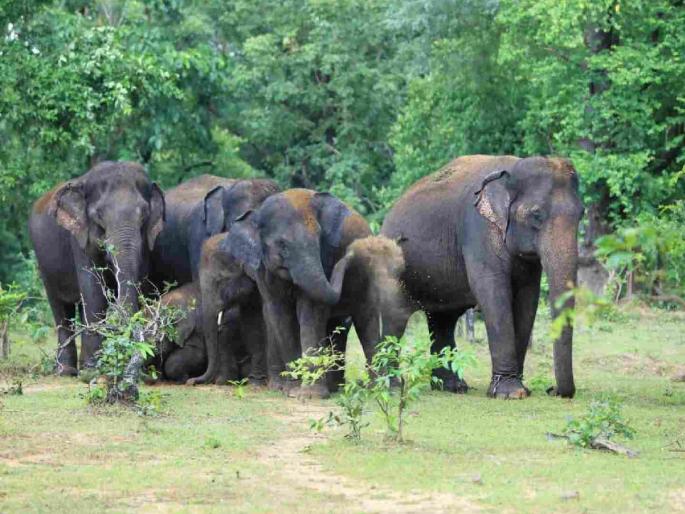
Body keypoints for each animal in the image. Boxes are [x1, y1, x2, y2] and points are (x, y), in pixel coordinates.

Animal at [28, 161, 165, 375]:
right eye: (99, 215)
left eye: (144, 214)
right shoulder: (79, 239)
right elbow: (93, 292)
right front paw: (92, 370)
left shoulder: (146, 244)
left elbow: (140, 282)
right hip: (44, 262)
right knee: (61, 309)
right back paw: (67, 372)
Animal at [189, 189, 406, 399]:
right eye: (282, 245)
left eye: (319, 240)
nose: (351, 254)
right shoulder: (262, 269)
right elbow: (280, 314)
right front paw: (292, 391)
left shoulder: (325, 257)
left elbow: (310, 311)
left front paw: (310, 395)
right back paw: (334, 388)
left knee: (365, 321)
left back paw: (376, 389)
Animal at [381, 155, 584, 399]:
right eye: (536, 214)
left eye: (582, 214)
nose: (552, 390)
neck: (511, 170)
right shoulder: (478, 231)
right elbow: (492, 292)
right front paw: (510, 393)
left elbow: (528, 297)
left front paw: (520, 389)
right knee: (395, 319)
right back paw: (391, 388)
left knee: (443, 320)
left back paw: (453, 387)